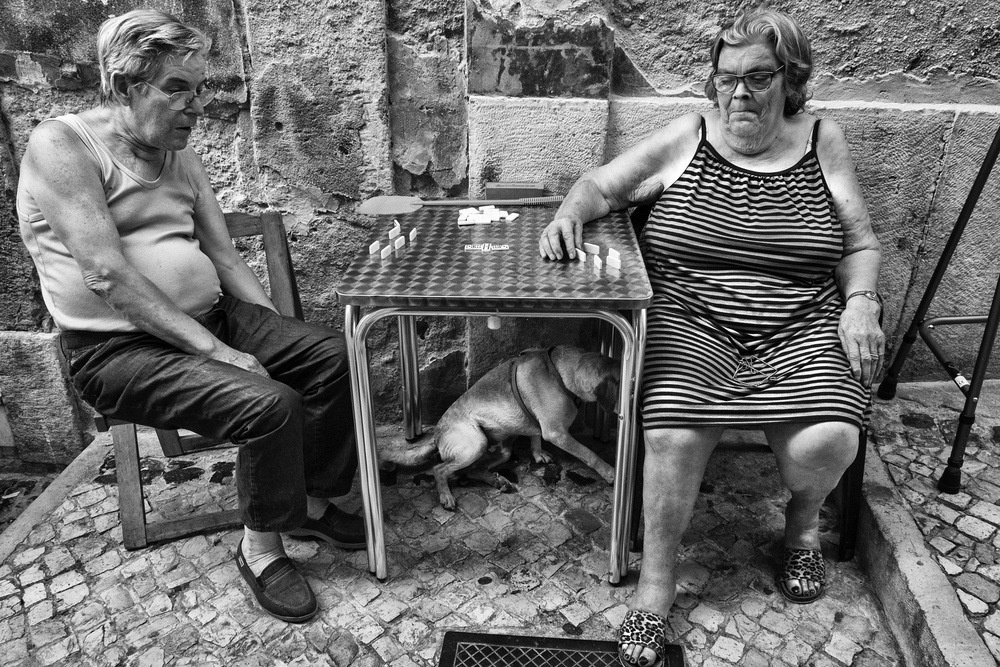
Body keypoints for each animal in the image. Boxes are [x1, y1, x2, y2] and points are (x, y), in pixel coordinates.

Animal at [382, 345, 619, 510]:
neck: (561, 373)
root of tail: (437, 433)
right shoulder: (557, 433)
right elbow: (589, 454)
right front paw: (610, 473)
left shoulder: (541, 426)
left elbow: (535, 435)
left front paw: (538, 453)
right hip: (476, 444)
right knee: (440, 469)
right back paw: (446, 496)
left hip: (501, 450)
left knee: (471, 470)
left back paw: (497, 481)